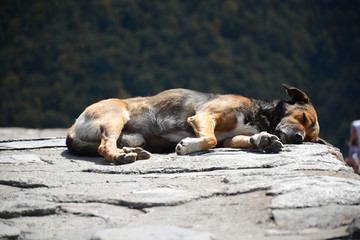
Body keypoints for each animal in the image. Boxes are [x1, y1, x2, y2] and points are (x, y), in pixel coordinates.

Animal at [66, 83, 328, 164]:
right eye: (304, 118)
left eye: (311, 138)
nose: (299, 139)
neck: (260, 115)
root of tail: (72, 128)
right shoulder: (203, 117)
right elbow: (209, 139)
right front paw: (186, 146)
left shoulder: (229, 139)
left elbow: (244, 140)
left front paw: (265, 140)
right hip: (115, 117)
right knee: (104, 146)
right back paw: (122, 157)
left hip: (131, 135)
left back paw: (134, 152)